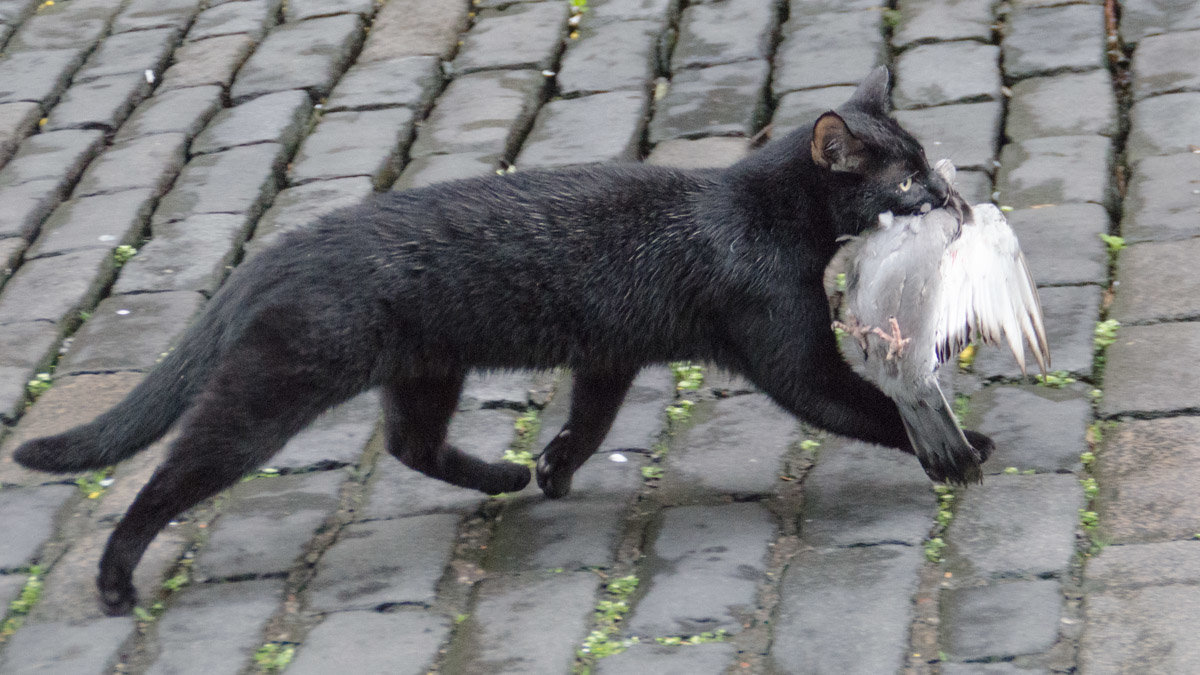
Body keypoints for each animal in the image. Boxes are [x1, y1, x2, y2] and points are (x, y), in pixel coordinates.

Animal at [16, 65, 993, 612]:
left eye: (925, 163)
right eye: (906, 179)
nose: (951, 196)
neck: (756, 214)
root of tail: (292, 241)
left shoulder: (610, 351)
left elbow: (590, 422)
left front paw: (555, 466)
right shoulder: (787, 354)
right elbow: (863, 404)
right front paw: (963, 448)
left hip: (425, 368)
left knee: (411, 443)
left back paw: (505, 476)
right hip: (273, 390)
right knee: (170, 474)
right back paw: (114, 582)